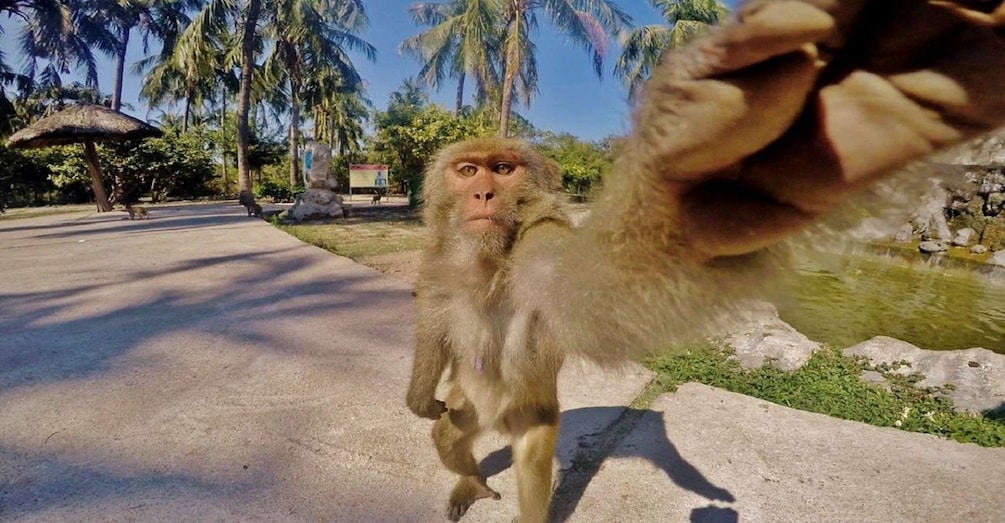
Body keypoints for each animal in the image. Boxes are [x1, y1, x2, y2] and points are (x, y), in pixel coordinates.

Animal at [405, 1, 1005, 522]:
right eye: (467, 171)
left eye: (503, 170)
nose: (482, 195)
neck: (489, 259)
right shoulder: (438, 259)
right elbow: (433, 321)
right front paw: (418, 397)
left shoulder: (540, 251)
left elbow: (598, 294)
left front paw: (694, 190)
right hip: (470, 405)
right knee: (449, 434)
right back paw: (470, 479)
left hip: (529, 414)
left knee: (530, 463)